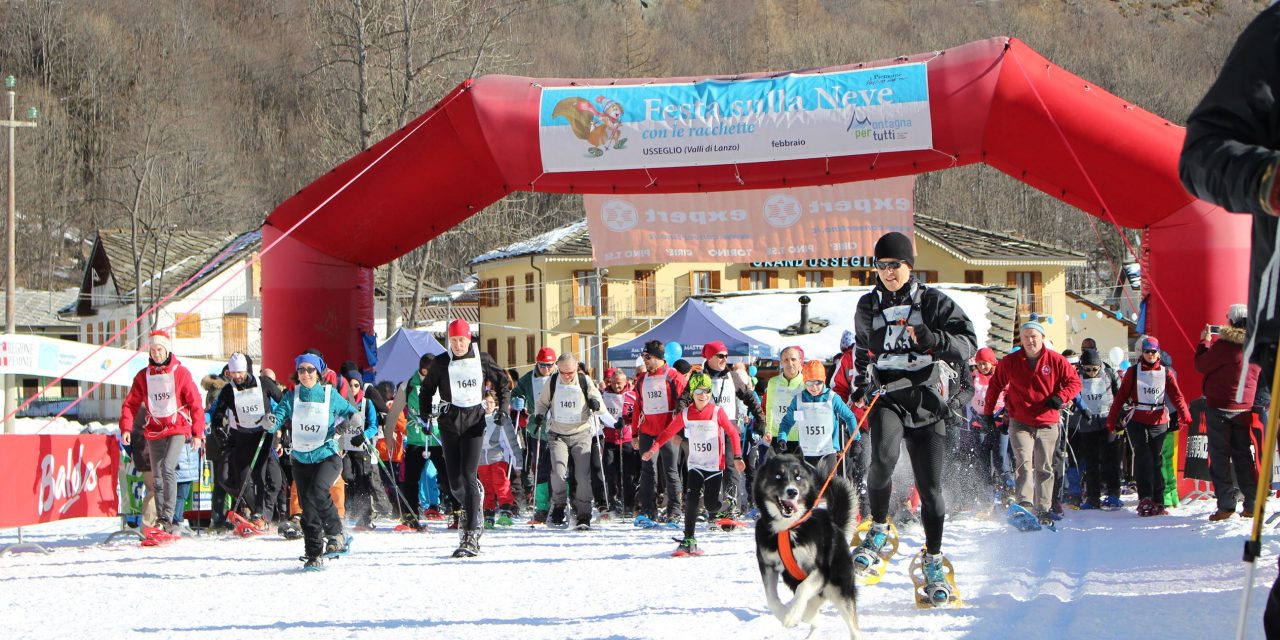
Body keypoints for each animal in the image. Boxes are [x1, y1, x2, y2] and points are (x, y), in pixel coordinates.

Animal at [752, 453, 865, 637]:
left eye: (798, 477)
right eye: (778, 475)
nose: (792, 491)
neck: (787, 528)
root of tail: (835, 526)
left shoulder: (820, 570)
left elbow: (803, 588)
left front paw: (791, 616)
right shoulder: (767, 565)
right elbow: (771, 598)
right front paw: (785, 614)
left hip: (841, 589)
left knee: (853, 628)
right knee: (814, 613)